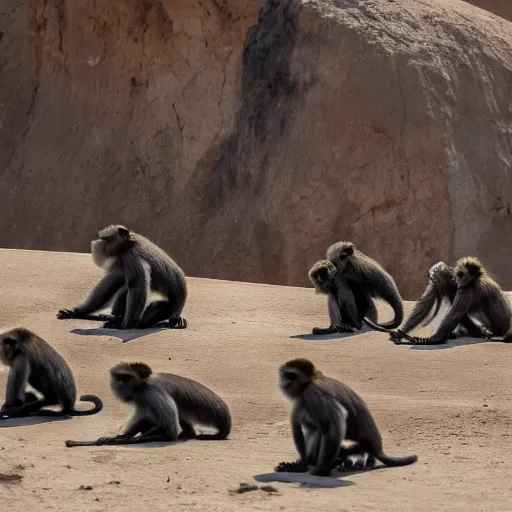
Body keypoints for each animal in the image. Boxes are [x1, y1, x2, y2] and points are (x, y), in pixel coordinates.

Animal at [56, 225, 188, 330]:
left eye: (106, 239)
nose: (99, 243)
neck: (130, 242)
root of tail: (176, 314)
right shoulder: (122, 257)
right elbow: (114, 281)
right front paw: (76, 312)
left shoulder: (131, 256)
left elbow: (136, 283)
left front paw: (126, 325)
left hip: (166, 309)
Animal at [100, 360, 232, 444]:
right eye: (121, 378)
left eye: (127, 378)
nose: (122, 382)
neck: (142, 385)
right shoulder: (142, 397)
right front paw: (124, 436)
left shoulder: (151, 393)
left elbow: (169, 428)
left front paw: (129, 439)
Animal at [278, 356, 418, 476]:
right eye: (287, 375)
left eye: (291, 376)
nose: (284, 381)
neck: (311, 380)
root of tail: (377, 449)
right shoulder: (303, 396)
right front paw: (303, 463)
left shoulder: (313, 394)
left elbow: (336, 422)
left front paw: (320, 469)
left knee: (324, 427)